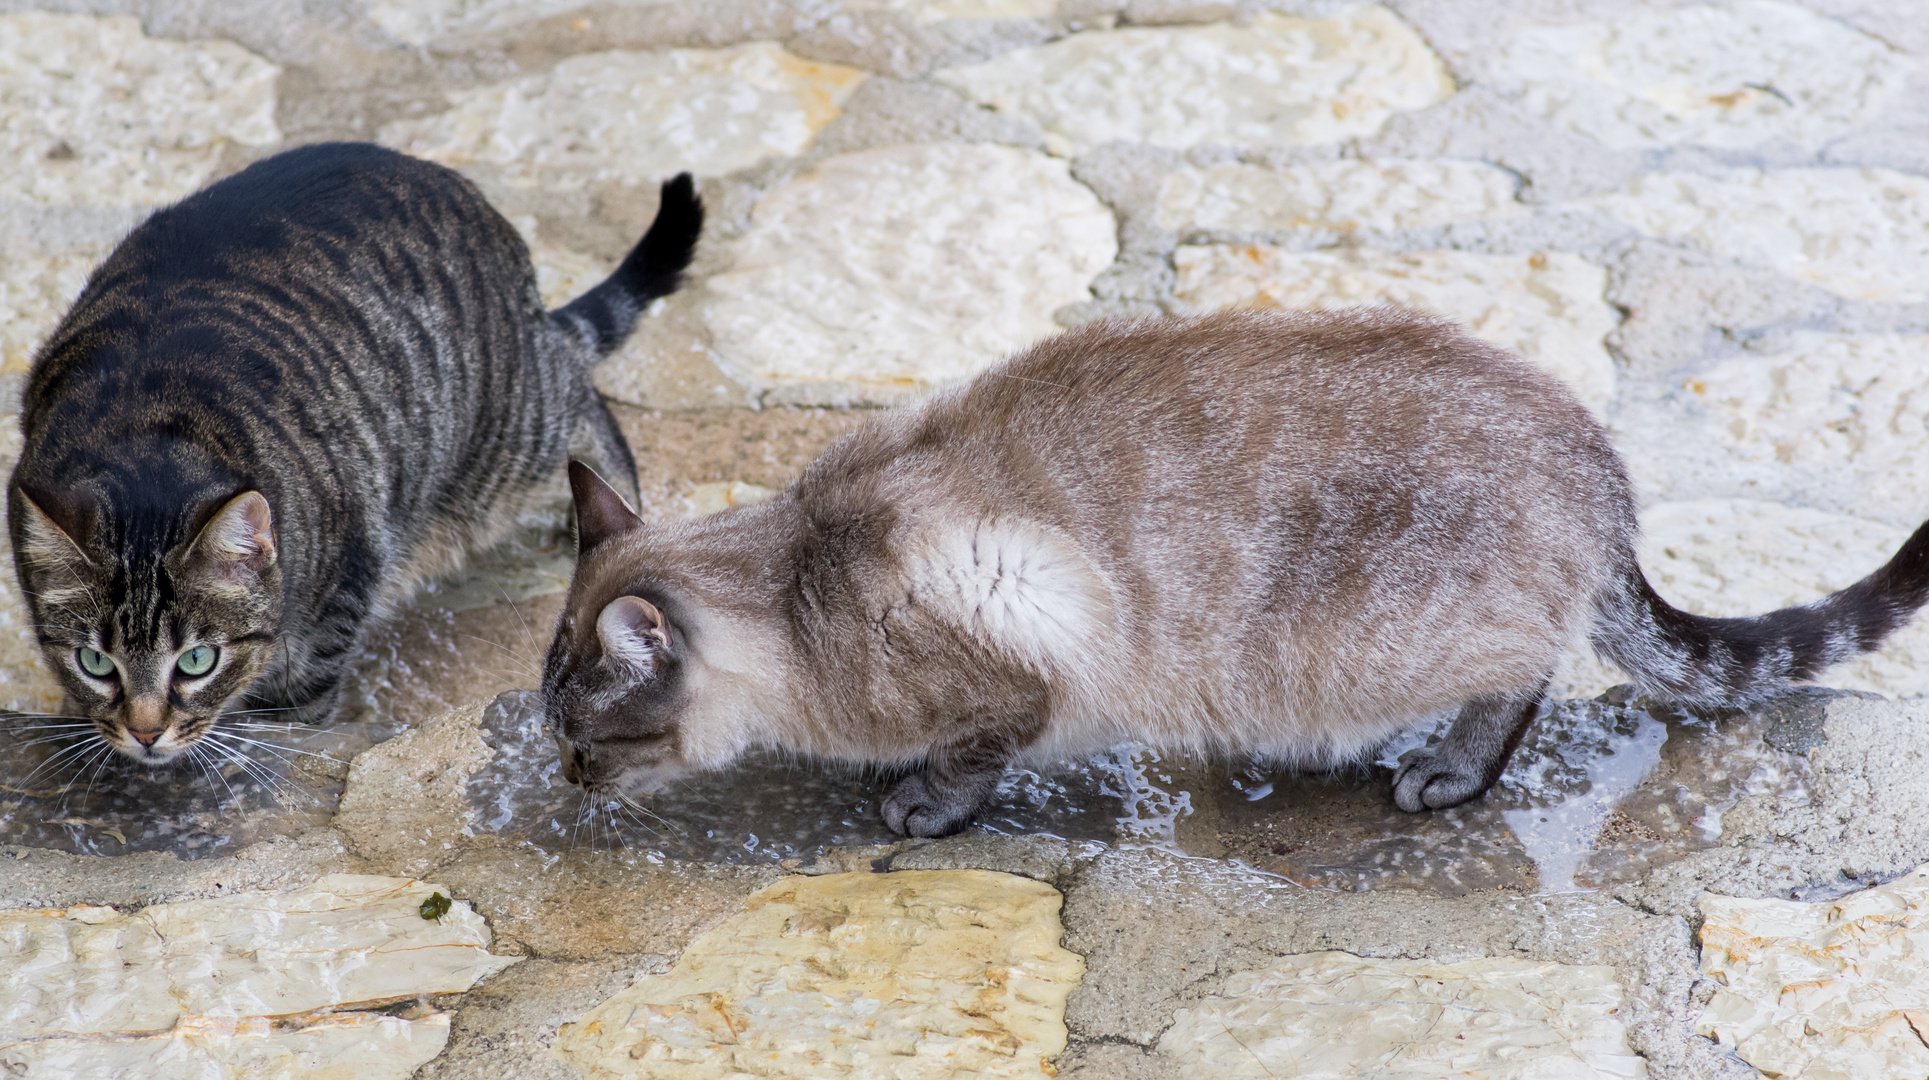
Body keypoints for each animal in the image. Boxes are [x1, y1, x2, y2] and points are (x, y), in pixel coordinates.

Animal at [9, 143, 702, 763]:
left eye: (197, 661)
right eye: (95, 662)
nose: (146, 733)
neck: (146, 427)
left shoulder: (333, 609)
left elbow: (297, 714)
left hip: (511, 434)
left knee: (588, 404)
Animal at [540, 312, 1929, 837]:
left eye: (583, 739)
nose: (560, 784)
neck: (802, 587)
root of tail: (1596, 455)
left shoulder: (1030, 648)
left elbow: (973, 761)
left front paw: (919, 807)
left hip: (1401, 646)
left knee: (1528, 672)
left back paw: (1444, 773)